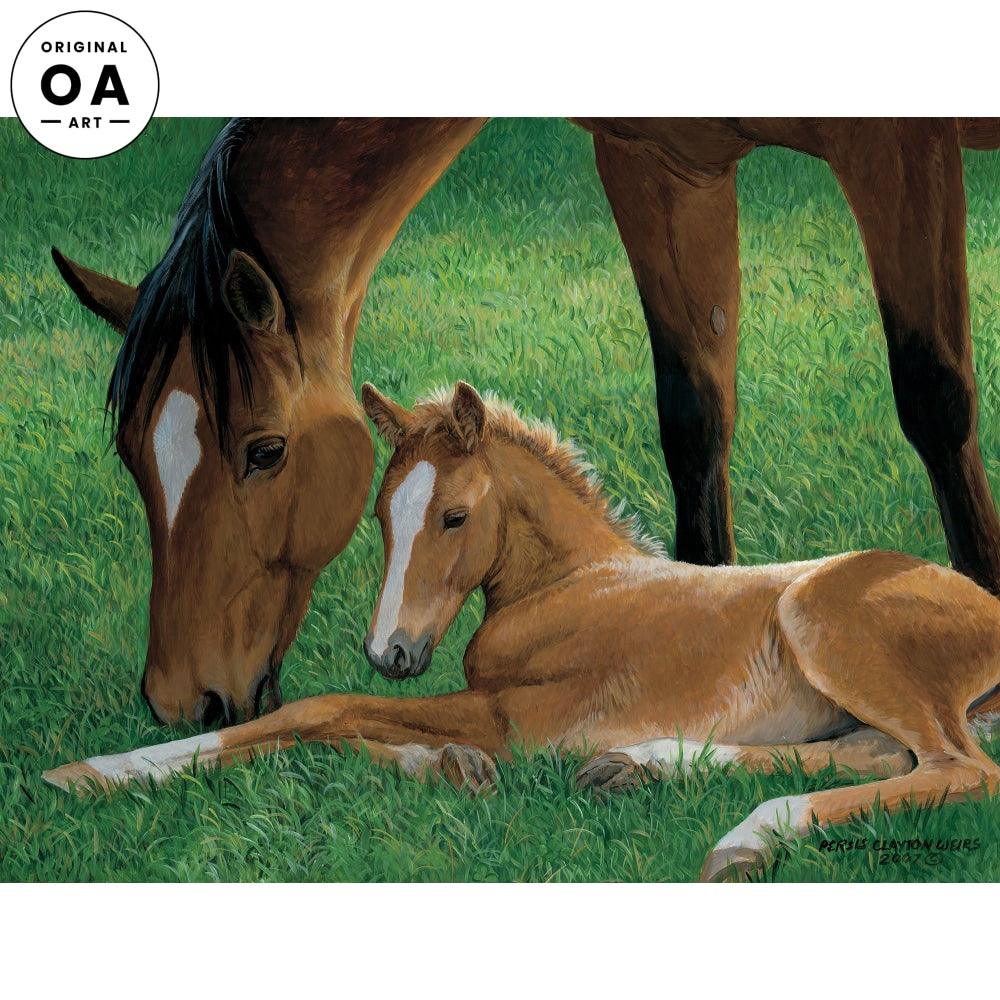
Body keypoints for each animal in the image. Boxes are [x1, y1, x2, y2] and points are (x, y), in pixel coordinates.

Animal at [43, 383, 1000, 882]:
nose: (391, 652)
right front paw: (452, 769)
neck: (567, 586)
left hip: (826, 627)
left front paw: (99, 772)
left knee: (957, 768)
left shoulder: (517, 717)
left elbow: (315, 711)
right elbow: (350, 726)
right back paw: (637, 768)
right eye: (382, 517)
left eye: (456, 517)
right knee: (875, 756)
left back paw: (745, 837)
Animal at [52, 117, 1000, 726]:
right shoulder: (661, 162)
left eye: (266, 450)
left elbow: (935, 395)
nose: (181, 700)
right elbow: (694, 416)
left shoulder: (897, 144)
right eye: (130, 456)